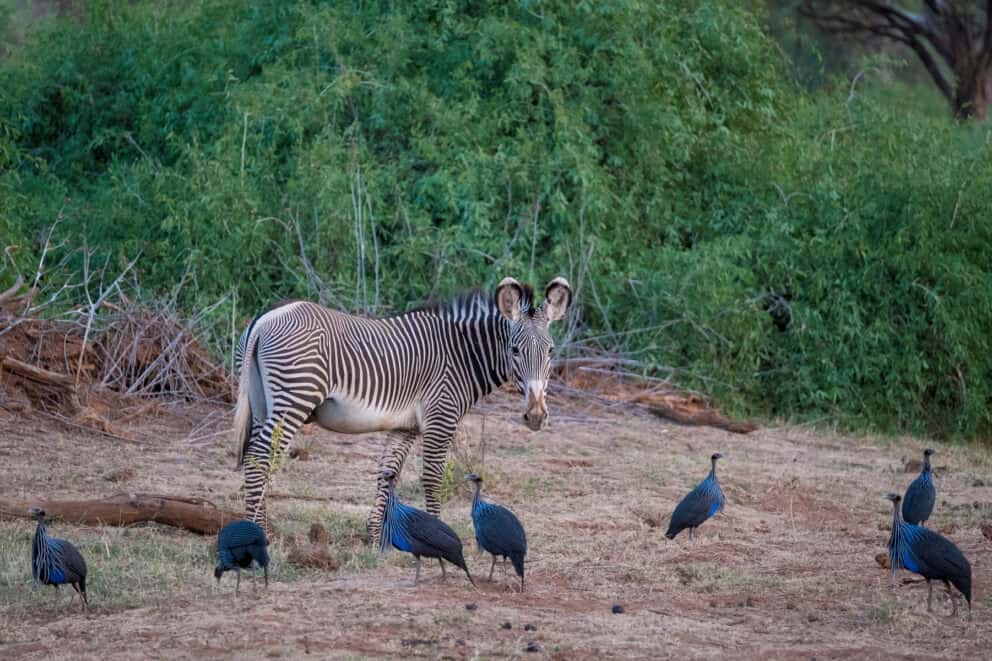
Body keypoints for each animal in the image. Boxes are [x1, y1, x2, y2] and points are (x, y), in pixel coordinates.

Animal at [232, 276, 572, 538]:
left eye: (550, 351)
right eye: (514, 350)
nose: (535, 416)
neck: (461, 354)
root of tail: (265, 319)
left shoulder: (405, 426)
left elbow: (388, 473)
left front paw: (376, 535)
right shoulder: (440, 418)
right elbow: (433, 477)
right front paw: (438, 534)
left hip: (262, 403)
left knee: (255, 456)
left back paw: (263, 527)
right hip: (293, 399)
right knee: (260, 457)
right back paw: (257, 532)